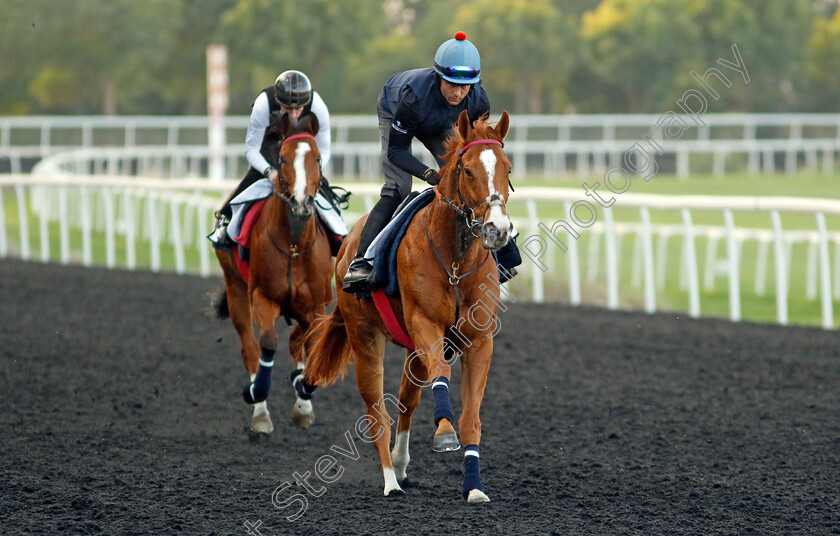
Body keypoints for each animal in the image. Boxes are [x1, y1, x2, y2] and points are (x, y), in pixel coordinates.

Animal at [215, 113, 334, 436]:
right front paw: (257, 396)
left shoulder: (315, 305)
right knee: (250, 348)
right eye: (282, 158)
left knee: (296, 341)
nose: (302, 203)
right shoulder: (262, 296)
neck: (293, 246)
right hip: (236, 290)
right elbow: (267, 344)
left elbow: (309, 345)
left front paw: (303, 399)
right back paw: (260, 410)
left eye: (318, 158)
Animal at [304, 110, 512, 502]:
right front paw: (444, 433)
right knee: (377, 413)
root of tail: (348, 244)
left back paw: (400, 465)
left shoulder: (479, 340)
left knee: (406, 399)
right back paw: (390, 480)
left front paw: (474, 487)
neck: (454, 261)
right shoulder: (426, 324)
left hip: (410, 347)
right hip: (365, 337)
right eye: (468, 171)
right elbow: (441, 378)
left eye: (508, 169)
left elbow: (471, 419)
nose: (497, 229)